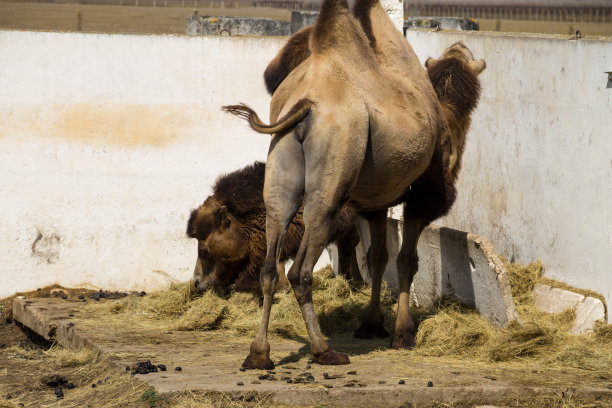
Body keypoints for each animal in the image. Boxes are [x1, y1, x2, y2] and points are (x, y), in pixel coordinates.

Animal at [225, 0, 450, 370]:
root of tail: (306, 104)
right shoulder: (425, 186)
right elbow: (406, 259)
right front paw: (402, 334)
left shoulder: (375, 199)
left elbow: (378, 256)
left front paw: (373, 326)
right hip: (335, 165)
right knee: (301, 268)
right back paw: (323, 350)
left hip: (280, 165)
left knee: (271, 261)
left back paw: (259, 354)